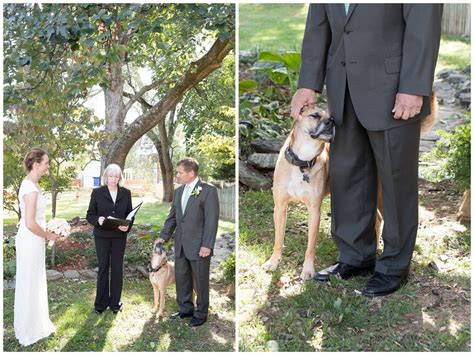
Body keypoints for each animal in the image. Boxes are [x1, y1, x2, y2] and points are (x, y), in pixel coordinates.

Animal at [262, 96, 436, 280]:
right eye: (315, 115)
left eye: (331, 118)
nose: (331, 123)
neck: (303, 161)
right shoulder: (280, 207)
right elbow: (278, 239)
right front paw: (273, 262)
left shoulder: (314, 211)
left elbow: (310, 247)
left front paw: (308, 270)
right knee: (377, 219)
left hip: (382, 196)